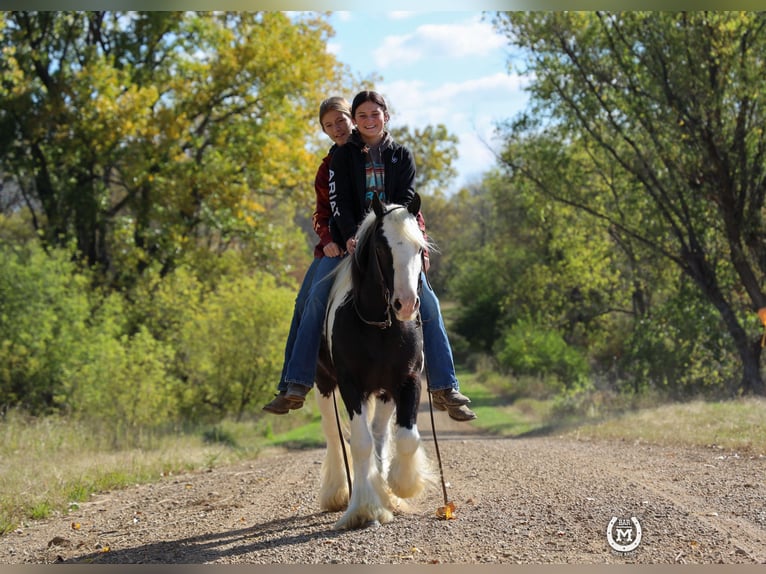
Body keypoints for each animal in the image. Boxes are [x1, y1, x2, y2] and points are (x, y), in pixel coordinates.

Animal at [312, 192, 432, 532]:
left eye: (421, 248)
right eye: (381, 248)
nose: (407, 304)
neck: (380, 325)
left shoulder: (407, 381)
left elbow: (405, 438)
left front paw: (401, 486)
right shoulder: (350, 385)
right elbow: (359, 442)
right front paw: (364, 508)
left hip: (384, 391)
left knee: (380, 434)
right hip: (324, 383)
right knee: (333, 432)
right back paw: (337, 491)